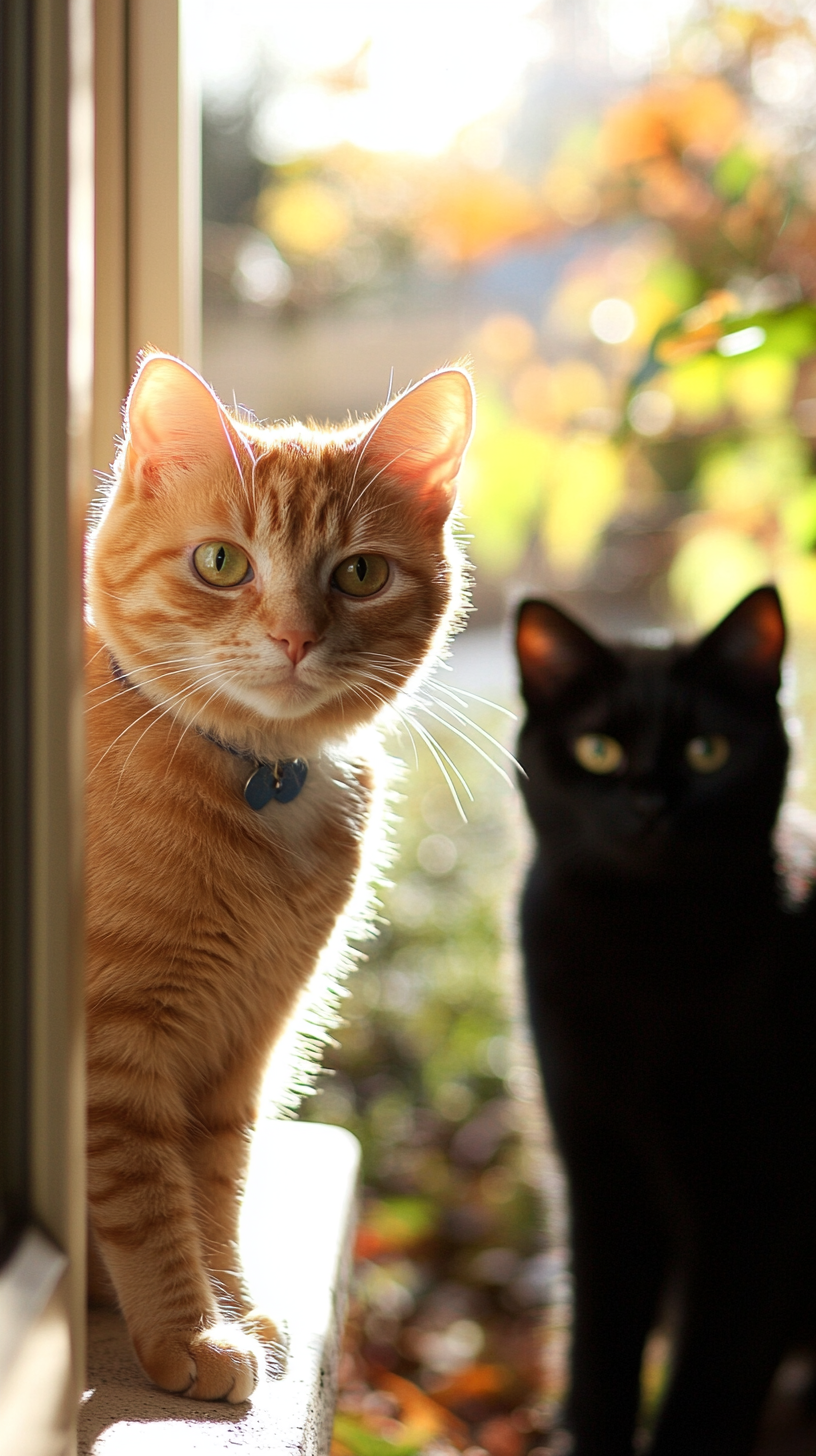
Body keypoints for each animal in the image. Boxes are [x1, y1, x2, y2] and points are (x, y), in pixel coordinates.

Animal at [84, 352, 472, 1397]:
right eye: (223, 563)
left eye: (360, 574)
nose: (296, 638)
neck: (263, 778)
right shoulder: (114, 1050)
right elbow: (147, 1198)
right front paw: (191, 1335)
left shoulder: (241, 1046)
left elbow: (214, 1190)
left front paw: (235, 1306)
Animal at [515, 582, 816, 1456]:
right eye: (598, 752)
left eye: (709, 752)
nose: (649, 803)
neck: (646, 949)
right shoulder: (596, 1168)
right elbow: (599, 1347)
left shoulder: (763, 1193)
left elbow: (712, 1375)